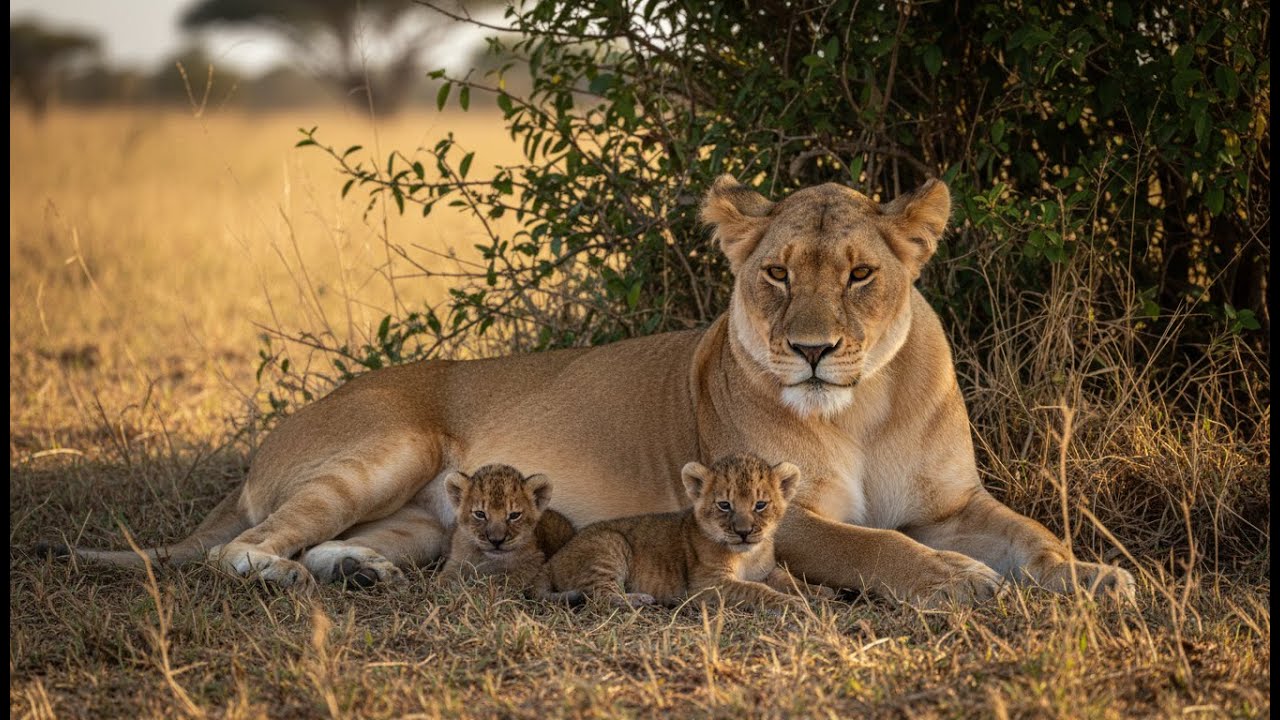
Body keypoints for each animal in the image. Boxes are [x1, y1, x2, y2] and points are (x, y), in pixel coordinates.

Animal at [536, 454, 832, 611]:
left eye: (760, 505)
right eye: (724, 505)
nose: (744, 532)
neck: (748, 555)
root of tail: (553, 560)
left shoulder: (766, 570)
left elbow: (788, 578)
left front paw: (819, 592)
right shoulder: (708, 586)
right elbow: (757, 590)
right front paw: (794, 603)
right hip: (610, 543)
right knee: (600, 597)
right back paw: (640, 599)